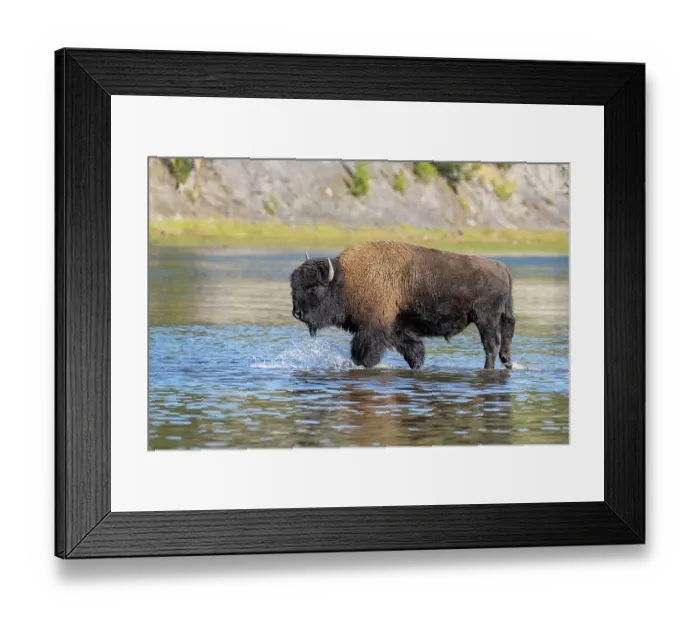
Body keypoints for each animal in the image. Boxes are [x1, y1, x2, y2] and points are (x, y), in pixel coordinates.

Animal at [289, 241, 516, 370]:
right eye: (294, 287)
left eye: (313, 288)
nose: (297, 313)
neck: (349, 279)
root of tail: (502, 268)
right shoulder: (397, 328)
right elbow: (414, 351)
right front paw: (417, 366)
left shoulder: (372, 329)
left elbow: (364, 354)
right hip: (499, 316)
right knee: (506, 335)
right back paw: (507, 362)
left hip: (485, 319)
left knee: (491, 345)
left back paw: (488, 369)